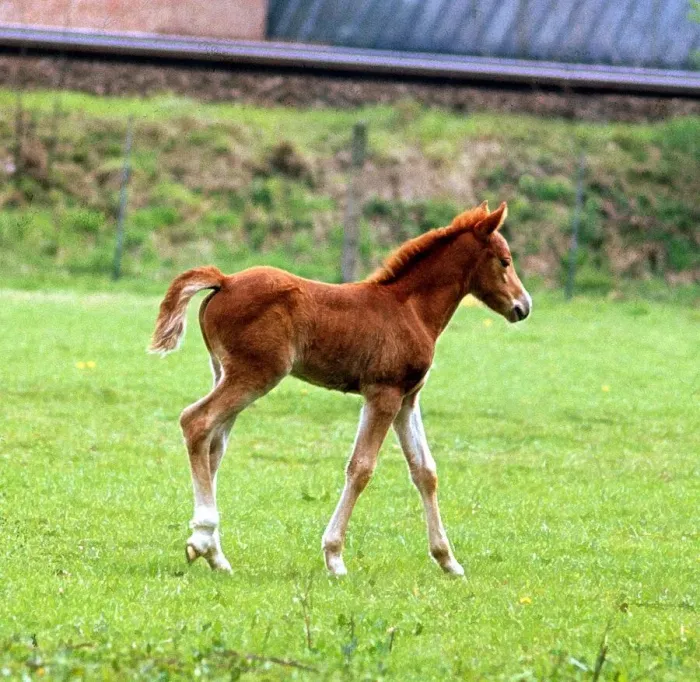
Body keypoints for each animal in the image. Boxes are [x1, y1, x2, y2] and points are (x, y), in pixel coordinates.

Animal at [149, 201, 531, 576]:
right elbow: (361, 467)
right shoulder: (383, 394)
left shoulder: (407, 399)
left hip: (226, 373)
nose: (523, 306)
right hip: (254, 375)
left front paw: (448, 561)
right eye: (504, 261)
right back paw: (202, 538)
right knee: (196, 421)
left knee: (214, 444)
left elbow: (425, 471)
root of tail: (225, 280)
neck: (409, 309)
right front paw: (334, 557)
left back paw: (215, 554)